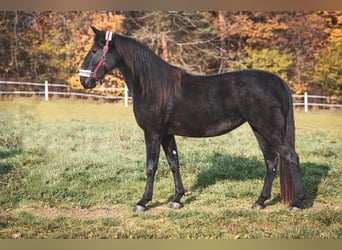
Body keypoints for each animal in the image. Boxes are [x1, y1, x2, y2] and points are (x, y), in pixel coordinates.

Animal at [78, 26, 304, 211]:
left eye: (95, 50)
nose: (83, 80)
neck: (151, 86)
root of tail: (279, 82)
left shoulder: (152, 133)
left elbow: (151, 166)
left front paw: (143, 202)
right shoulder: (166, 134)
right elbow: (174, 163)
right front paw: (177, 199)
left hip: (271, 131)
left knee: (290, 157)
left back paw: (298, 203)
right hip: (259, 130)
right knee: (271, 161)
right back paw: (260, 201)